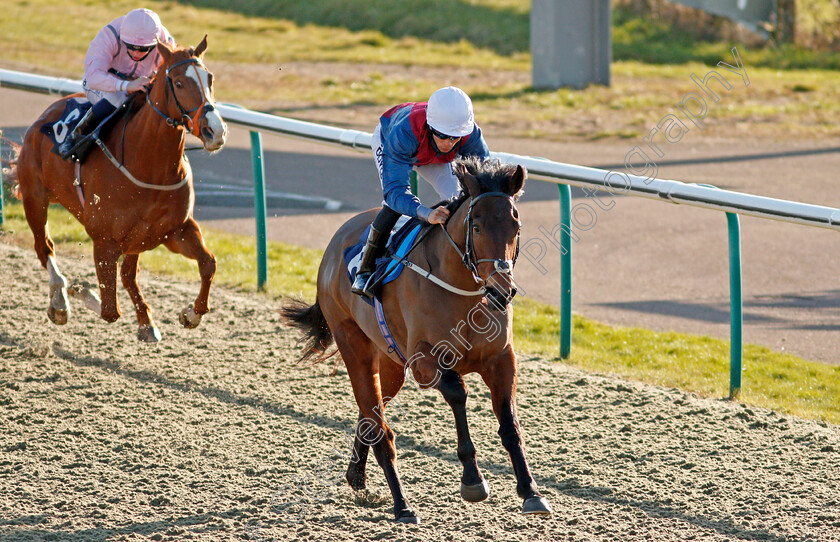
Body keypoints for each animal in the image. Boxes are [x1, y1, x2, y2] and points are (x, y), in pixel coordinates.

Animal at [13, 37, 230, 344]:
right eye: (177, 83)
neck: (148, 165)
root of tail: (42, 117)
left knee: (128, 274)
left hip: (136, 238)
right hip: (35, 198)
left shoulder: (175, 230)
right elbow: (110, 311)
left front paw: (191, 314)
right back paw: (60, 301)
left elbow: (208, 263)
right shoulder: (105, 241)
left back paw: (145, 323)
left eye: (209, 78)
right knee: (45, 248)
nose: (215, 131)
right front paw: (79, 290)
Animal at [282, 158, 552, 528]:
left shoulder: (501, 359)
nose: (501, 290)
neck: (462, 291)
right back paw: (402, 505)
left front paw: (530, 491)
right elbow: (457, 392)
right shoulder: (424, 362)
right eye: (477, 227)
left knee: (370, 415)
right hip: (355, 346)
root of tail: (334, 244)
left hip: (390, 364)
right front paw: (472, 479)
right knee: (380, 427)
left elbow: (509, 423)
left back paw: (357, 476)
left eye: (515, 224)